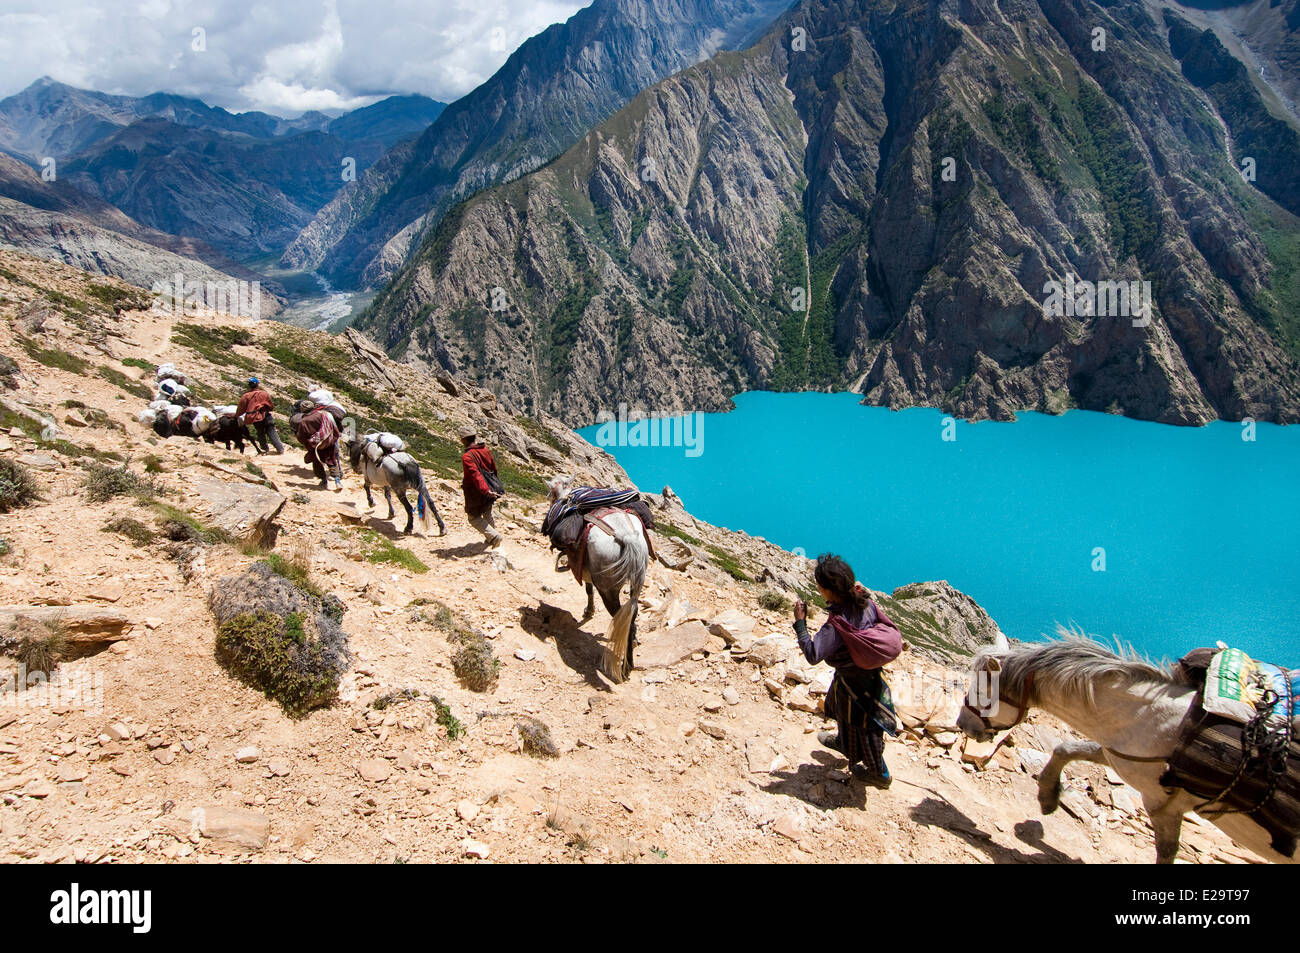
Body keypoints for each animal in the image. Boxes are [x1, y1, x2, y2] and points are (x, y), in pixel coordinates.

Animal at [548, 473, 650, 681]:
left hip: (608, 589)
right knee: (632, 615)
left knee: (622, 619)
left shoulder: (587, 573)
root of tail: (626, 537)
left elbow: (588, 589)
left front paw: (589, 611)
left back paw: (625, 667)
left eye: (553, 494)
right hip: (636, 584)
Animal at [956, 631, 1289, 863]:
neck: (1151, 714)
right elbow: (1067, 748)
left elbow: (1167, 849)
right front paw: (1048, 798)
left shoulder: (1162, 801)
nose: (962, 723)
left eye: (981, 690)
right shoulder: (1121, 752)